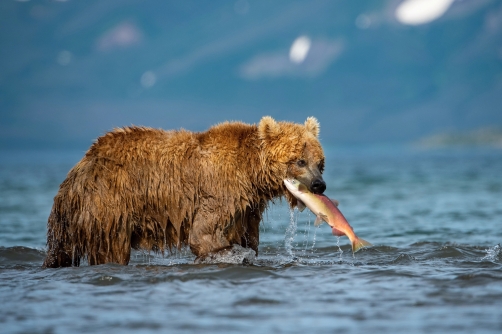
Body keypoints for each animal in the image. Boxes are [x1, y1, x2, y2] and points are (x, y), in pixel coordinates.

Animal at [42, 116, 326, 268]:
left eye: (320, 162)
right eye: (300, 160)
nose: (319, 185)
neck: (251, 174)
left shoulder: (247, 208)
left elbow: (248, 239)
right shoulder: (221, 191)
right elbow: (204, 234)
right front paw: (229, 253)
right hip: (109, 204)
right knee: (112, 250)